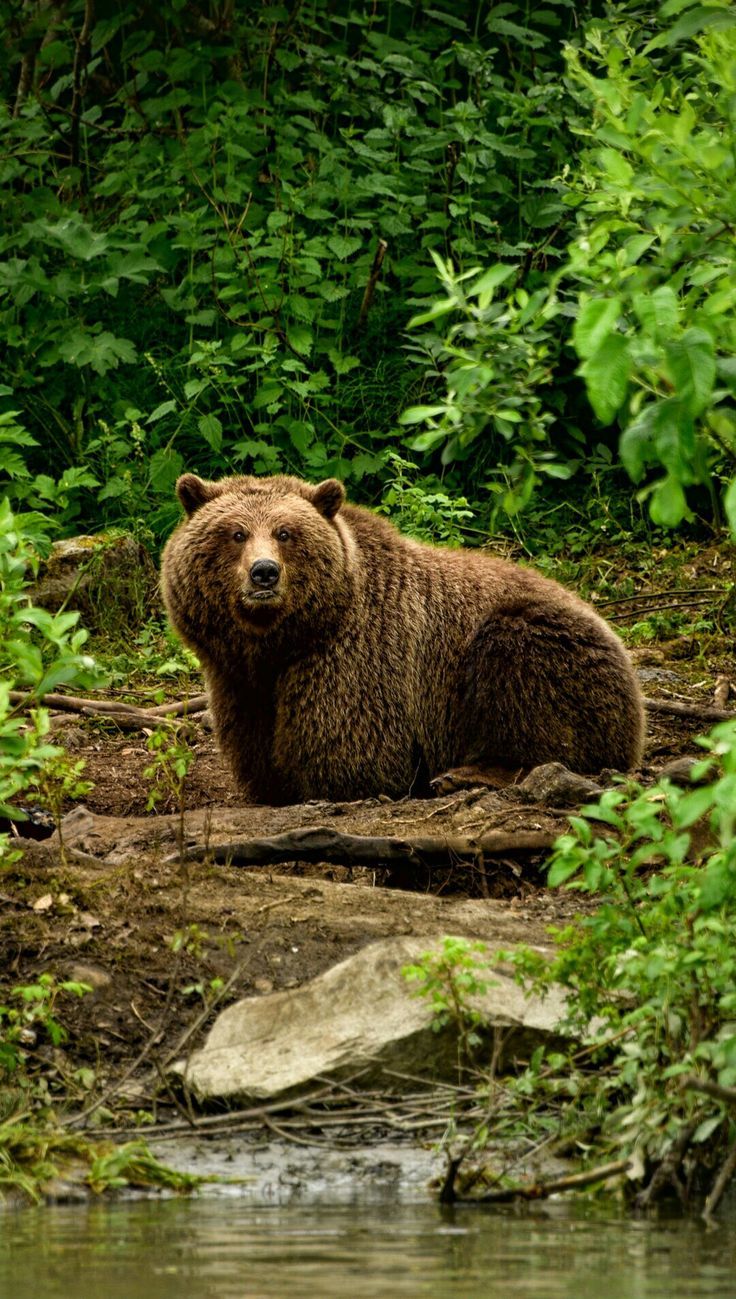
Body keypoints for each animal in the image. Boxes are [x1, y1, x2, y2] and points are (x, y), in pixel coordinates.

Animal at [161, 472, 644, 805]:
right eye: (236, 532)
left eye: (285, 532)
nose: (264, 572)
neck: (283, 640)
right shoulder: (238, 678)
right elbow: (254, 742)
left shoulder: (358, 656)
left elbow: (351, 748)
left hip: (542, 645)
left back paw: (464, 774)